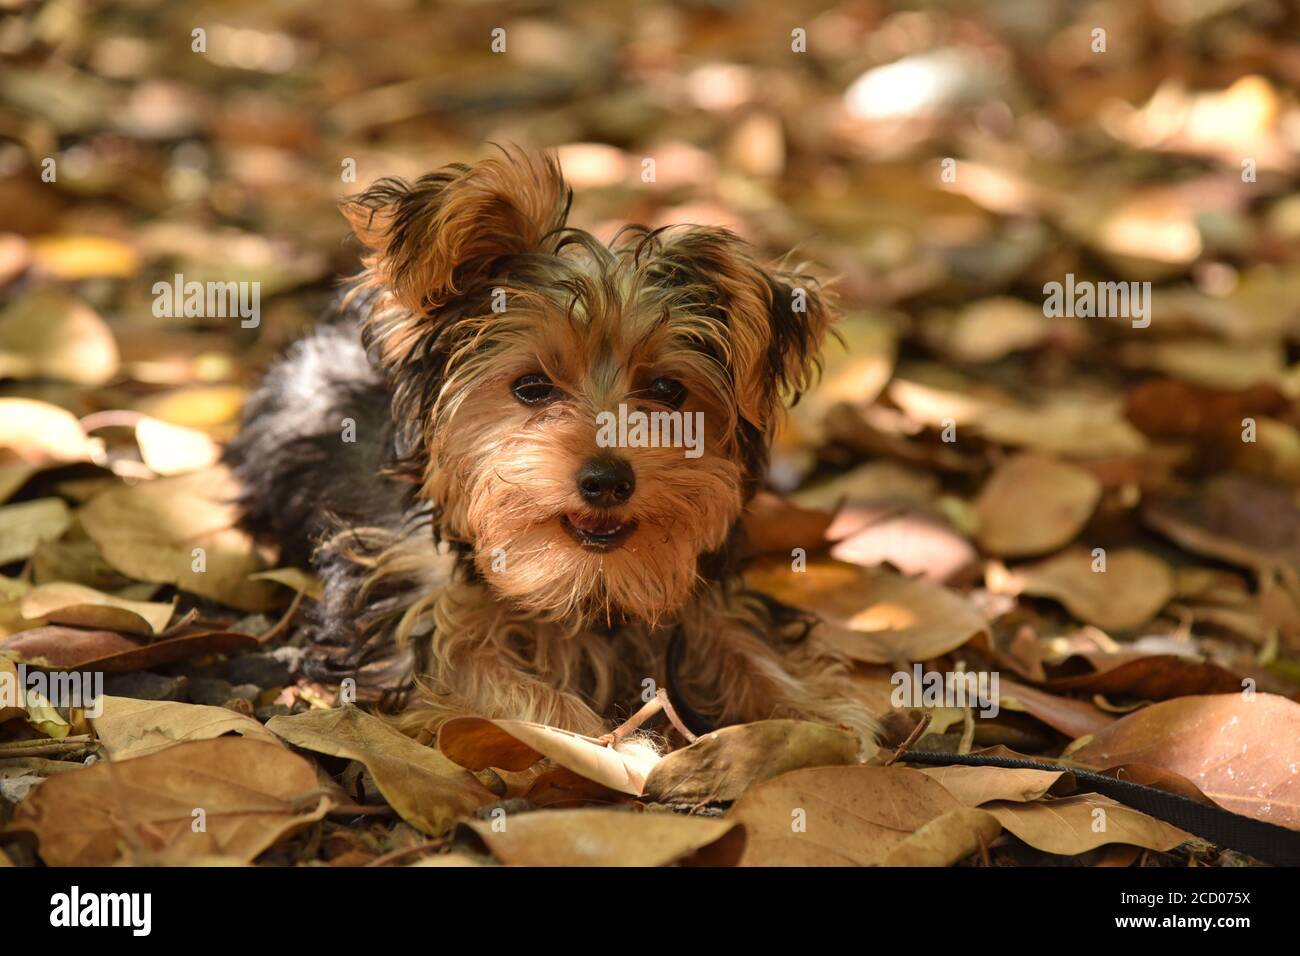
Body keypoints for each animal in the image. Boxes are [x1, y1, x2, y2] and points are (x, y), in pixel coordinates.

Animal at [228, 145, 878, 749]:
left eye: (667, 390)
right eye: (531, 387)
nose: (607, 480)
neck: (581, 581)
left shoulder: (700, 597)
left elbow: (741, 638)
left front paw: (819, 714)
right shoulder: (402, 605)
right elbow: (482, 679)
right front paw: (609, 748)